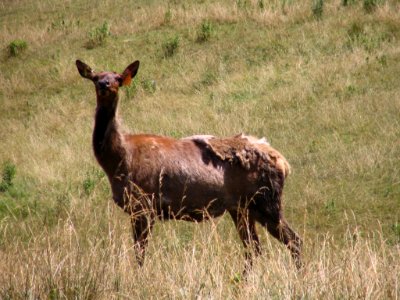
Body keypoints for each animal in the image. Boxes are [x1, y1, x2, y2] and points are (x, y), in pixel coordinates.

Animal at [75, 59, 302, 274]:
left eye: (118, 78)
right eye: (96, 77)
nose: (105, 84)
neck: (118, 161)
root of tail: (284, 163)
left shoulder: (143, 203)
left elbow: (140, 254)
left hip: (266, 200)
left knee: (294, 240)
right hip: (241, 208)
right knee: (254, 248)